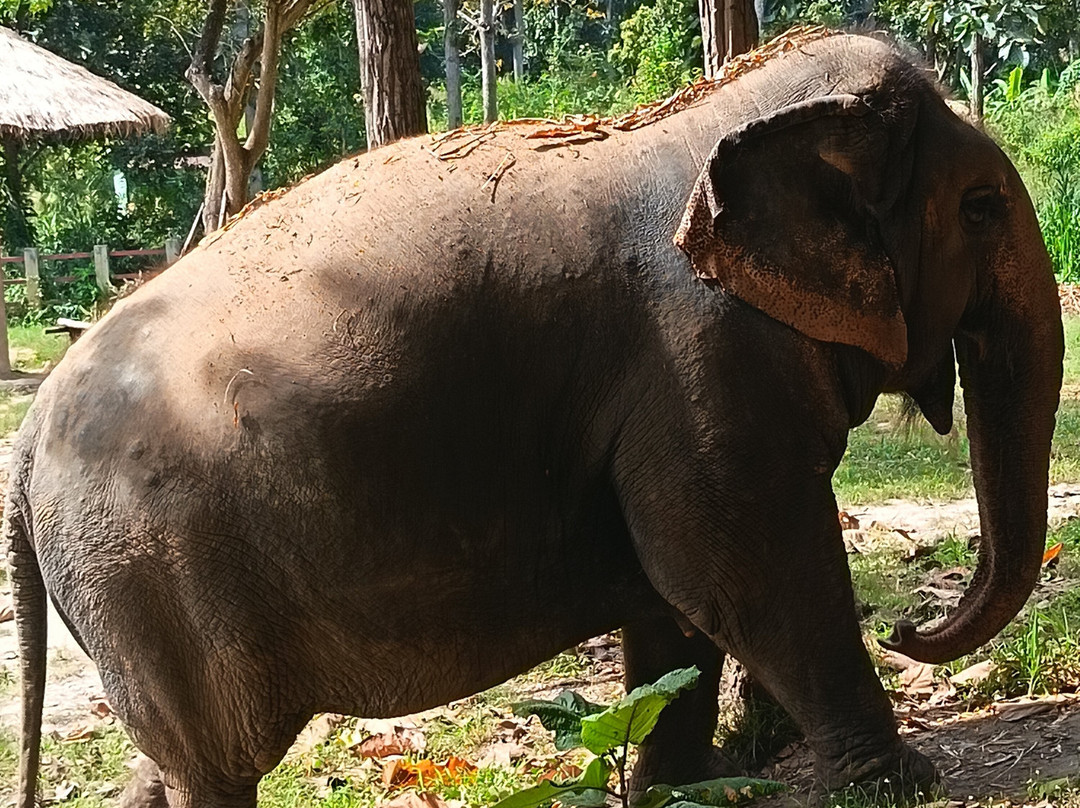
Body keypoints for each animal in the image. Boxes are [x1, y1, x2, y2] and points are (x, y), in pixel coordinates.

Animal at [5, 30, 1063, 808]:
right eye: (979, 207)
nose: (912, 627)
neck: (714, 112)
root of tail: (25, 439)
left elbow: (675, 596)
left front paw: (679, 787)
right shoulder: (701, 357)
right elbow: (736, 565)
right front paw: (902, 782)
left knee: (171, 763)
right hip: (149, 574)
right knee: (215, 767)